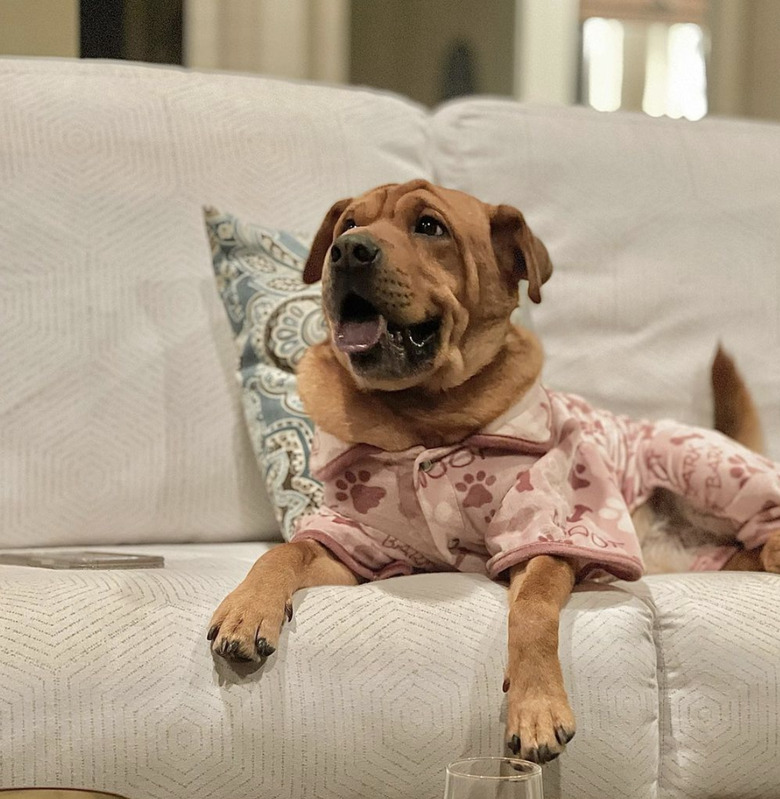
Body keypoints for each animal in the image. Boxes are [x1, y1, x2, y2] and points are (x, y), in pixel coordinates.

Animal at [209, 178, 780, 764]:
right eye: (347, 225)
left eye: (429, 226)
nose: (346, 251)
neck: (425, 421)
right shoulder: (359, 547)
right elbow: (285, 552)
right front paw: (246, 608)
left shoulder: (543, 534)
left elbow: (531, 609)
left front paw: (537, 705)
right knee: (745, 551)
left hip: (707, 466)